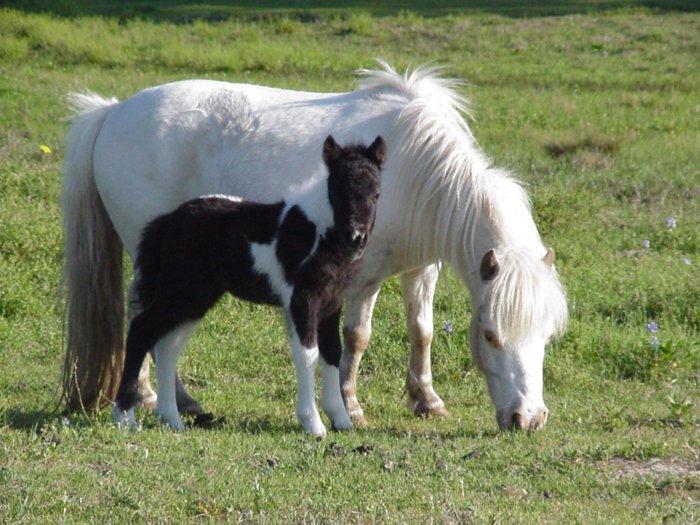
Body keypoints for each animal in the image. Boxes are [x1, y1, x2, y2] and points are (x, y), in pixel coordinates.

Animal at [116, 135, 388, 434]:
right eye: (337, 191)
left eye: (376, 193)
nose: (357, 238)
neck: (318, 232)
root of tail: (168, 221)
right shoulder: (302, 299)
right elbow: (308, 353)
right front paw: (313, 424)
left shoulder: (331, 301)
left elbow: (331, 353)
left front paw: (341, 420)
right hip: (180, 289)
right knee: (141, 330)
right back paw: (125, 416)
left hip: (195, 298)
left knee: (167, 346)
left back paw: (172, 419)